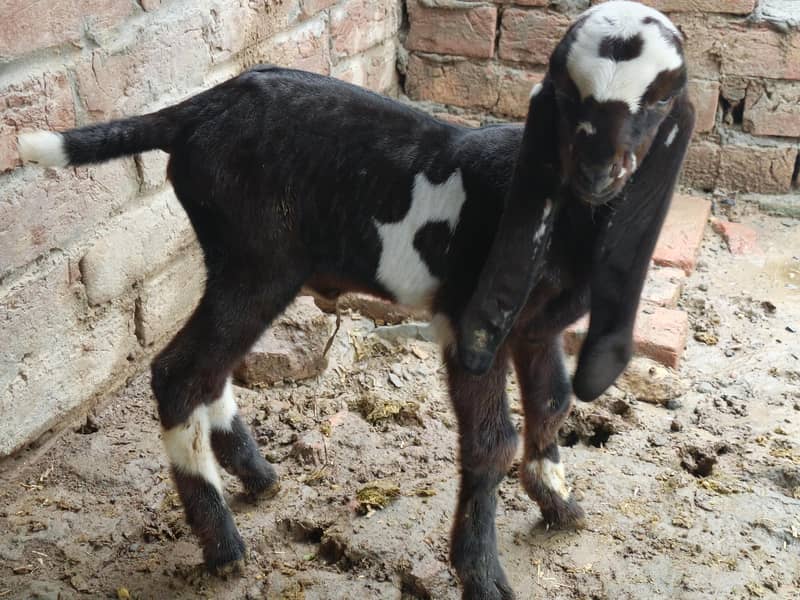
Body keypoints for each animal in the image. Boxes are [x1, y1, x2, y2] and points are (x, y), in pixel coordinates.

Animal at [17, 2, 694, 598]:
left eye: (662, 98)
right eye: (564, 95)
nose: (599, 172)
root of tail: (199, 107)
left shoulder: (536, 328)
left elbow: (553, 404)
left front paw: (559, 504)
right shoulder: (470, 322)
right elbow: (490, 441)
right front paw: (481, 576)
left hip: (236, 261)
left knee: (210, 371)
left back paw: (258, 478)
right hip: (258, 262)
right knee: (180, 372)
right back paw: (224, 548)